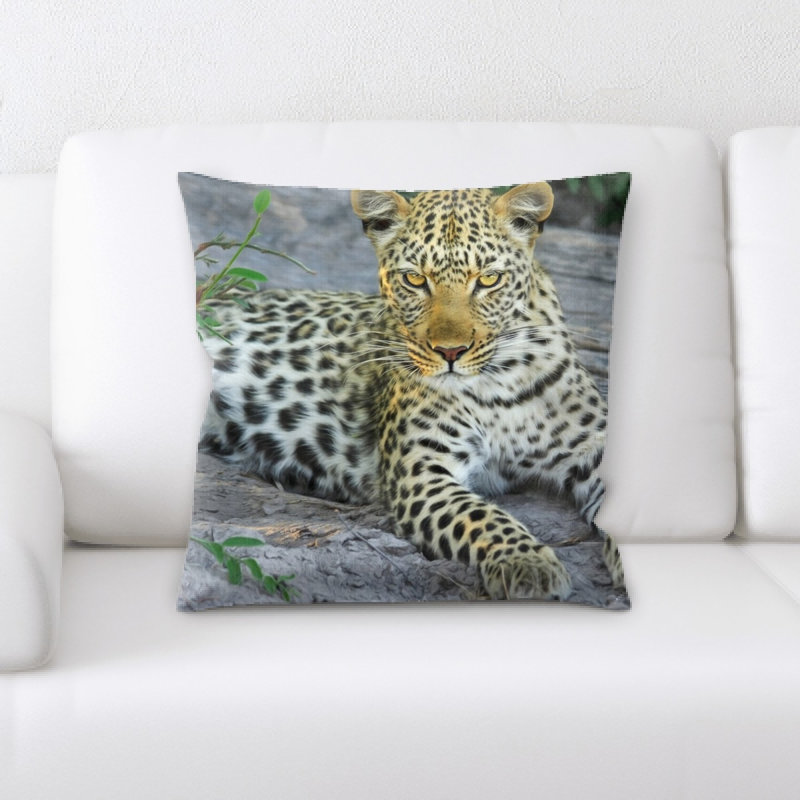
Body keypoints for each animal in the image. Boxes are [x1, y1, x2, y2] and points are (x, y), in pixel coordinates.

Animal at [199, 183, 624, 601]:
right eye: (415, 280)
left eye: (488, 280)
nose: (450, 352)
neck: (499, 381)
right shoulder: (421, 470)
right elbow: (481, 516)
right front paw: (528, 563)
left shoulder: (594, 443)